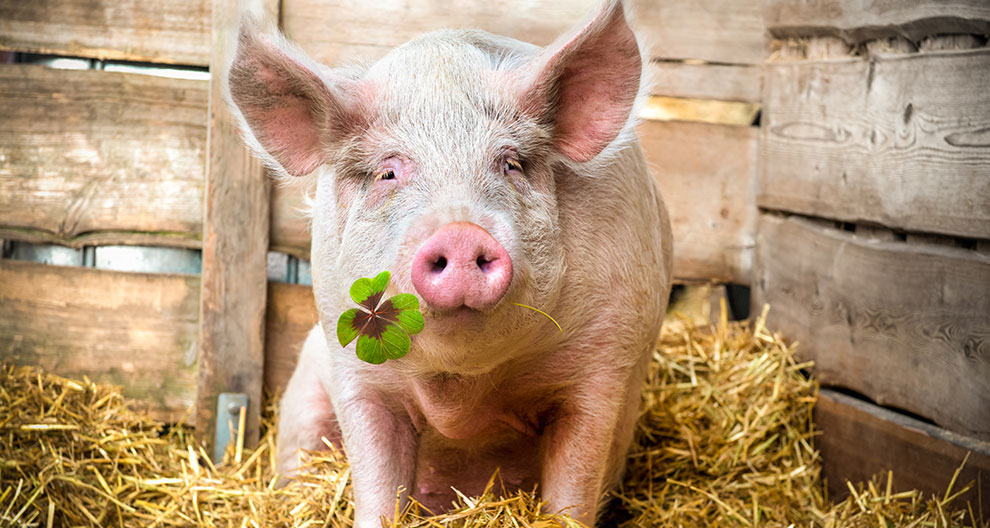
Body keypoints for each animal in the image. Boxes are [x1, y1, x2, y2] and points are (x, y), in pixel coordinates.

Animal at [226, 0, 672, 525]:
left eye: (511, 164)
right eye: (388, 172)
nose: (460, 231)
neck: (462, 391)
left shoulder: (602, 367)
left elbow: (574, 487)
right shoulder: (355, 373)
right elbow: (377, 484)